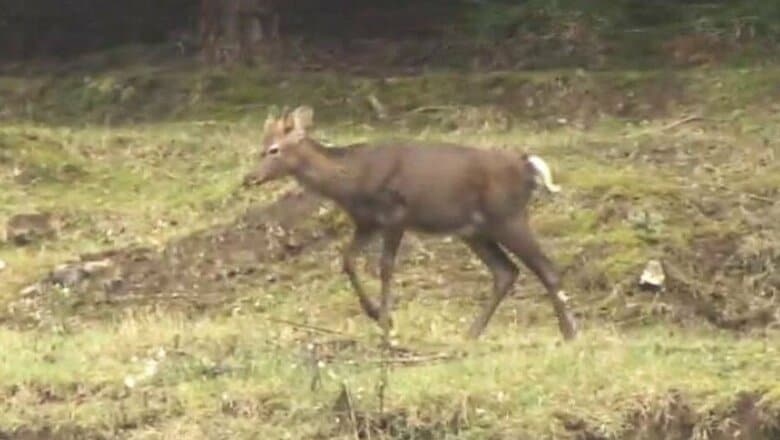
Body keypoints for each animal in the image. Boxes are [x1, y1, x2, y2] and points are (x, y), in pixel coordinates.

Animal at [242, 106, 578, 341]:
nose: (250, 178)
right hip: (475, 231)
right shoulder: (366, 222)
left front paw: (385, 322)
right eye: (261, 147)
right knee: (506, 272)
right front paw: (376, 314)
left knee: (546, 268)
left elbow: (386, 268)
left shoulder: (395, 214)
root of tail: (528, 167)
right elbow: (347, 260)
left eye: (274, 149)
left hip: (508, 216)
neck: (352, 181)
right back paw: (471, 333)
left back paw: (570, 332)